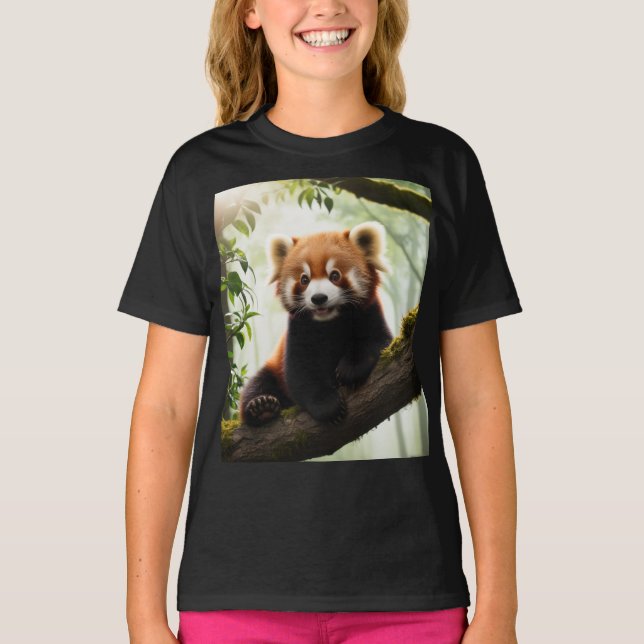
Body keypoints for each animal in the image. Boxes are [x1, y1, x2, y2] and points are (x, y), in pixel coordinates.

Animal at [239, 221, 393, 426]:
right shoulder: (297, 330)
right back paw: (262, 407)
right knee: (258, 383)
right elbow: (300, 372)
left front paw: (349, 370)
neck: (329, 321)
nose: (319, 298)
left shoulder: (369, 312)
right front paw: (327, 406)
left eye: (335, 275)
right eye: (304, 279)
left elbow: (376, 342)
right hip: (271, 369)